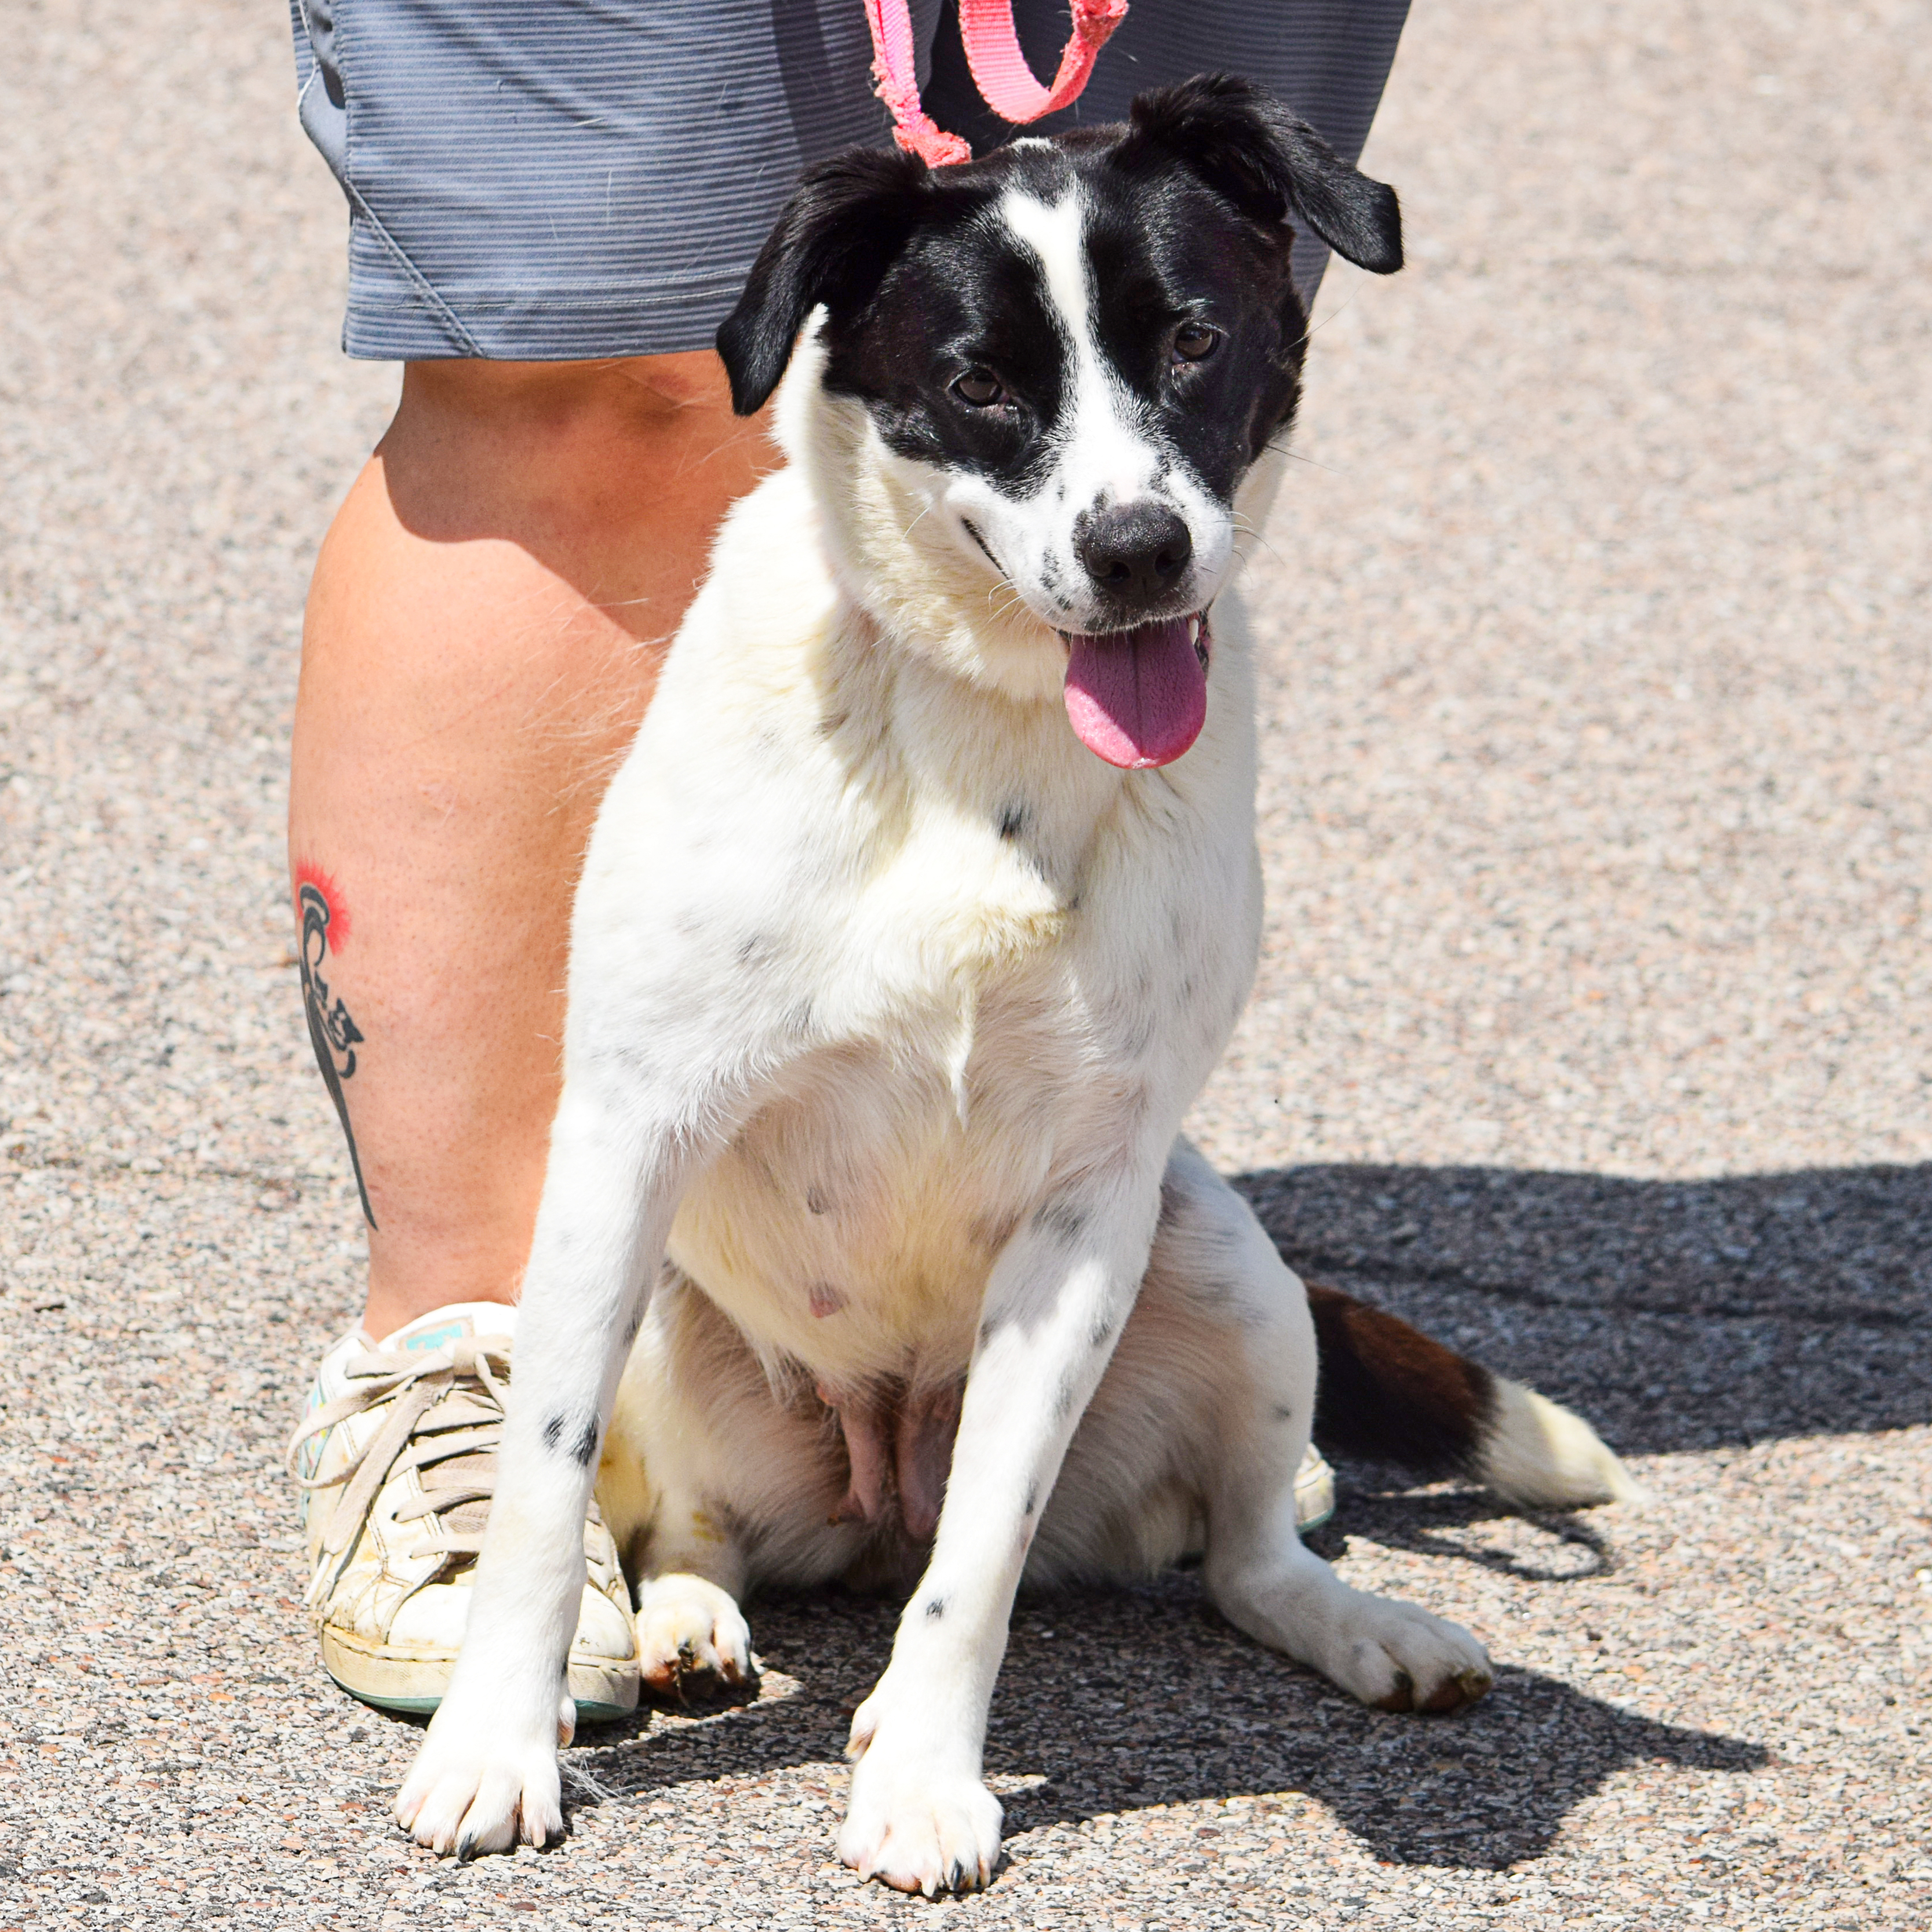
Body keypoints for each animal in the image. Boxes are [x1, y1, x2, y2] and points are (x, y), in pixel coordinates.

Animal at [400, 83, 1638, 1893]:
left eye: (1195, 339)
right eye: (979, 383)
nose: (1139, 552)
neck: (986, 725)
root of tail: (865, 1492)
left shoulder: (1080, 1215)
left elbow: (978, 1560)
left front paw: (920, 1774)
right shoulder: (627, 1136)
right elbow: (541, 1501)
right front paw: (497, 1743)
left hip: (1223, 1263)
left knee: (1239, 1551)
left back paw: (1366, 1626)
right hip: (652, 1304)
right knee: (684, 1520)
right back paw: (689, 1622)